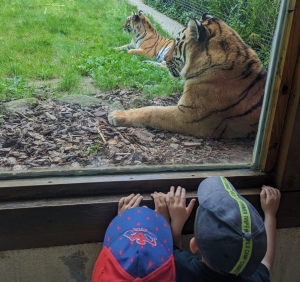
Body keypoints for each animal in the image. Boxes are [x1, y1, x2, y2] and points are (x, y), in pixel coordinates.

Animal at [108, 13, 268, 139]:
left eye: (177, 42)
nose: (165, 56)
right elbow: (122, 47)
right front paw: (110, 48)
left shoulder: (190, 115)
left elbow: (153, 111)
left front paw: (117, 115)